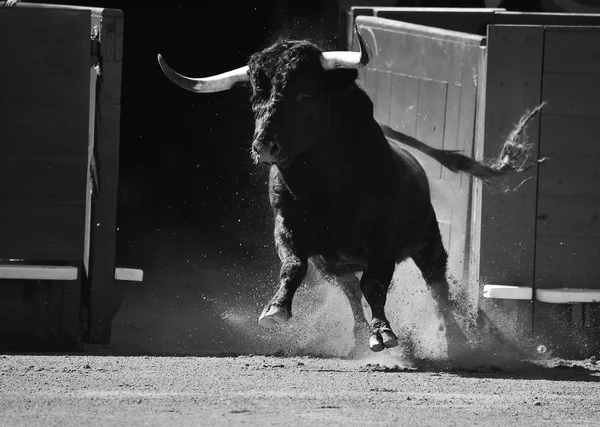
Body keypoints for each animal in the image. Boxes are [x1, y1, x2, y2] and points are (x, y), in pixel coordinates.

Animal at [158, 26, 544, 358]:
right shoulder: (287, 226)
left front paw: (384, 333)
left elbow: (374, 284)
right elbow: (293, 266)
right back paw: (359, 338)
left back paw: (451, 343)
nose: (263, 147)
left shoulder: (384, 238)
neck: (325, 188)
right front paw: (276, 309)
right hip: (334, 265)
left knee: (437, 289)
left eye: (304, 94)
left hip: (428, 243)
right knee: (349, 294)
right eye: (255, 96)